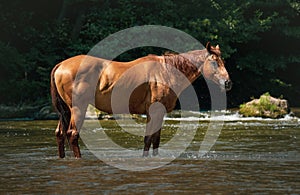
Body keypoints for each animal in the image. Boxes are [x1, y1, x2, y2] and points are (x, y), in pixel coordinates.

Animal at [51, 42, 232, 158]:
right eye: (214, 63)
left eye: (223, 61)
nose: (227, 83)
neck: (166, 72)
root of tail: (60, 66)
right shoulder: (155, 111)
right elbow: (149, 139)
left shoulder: (158, 113)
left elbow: (155, 139)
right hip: (78, 108)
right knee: (72, 134)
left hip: (66, 110)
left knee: (60, 134)